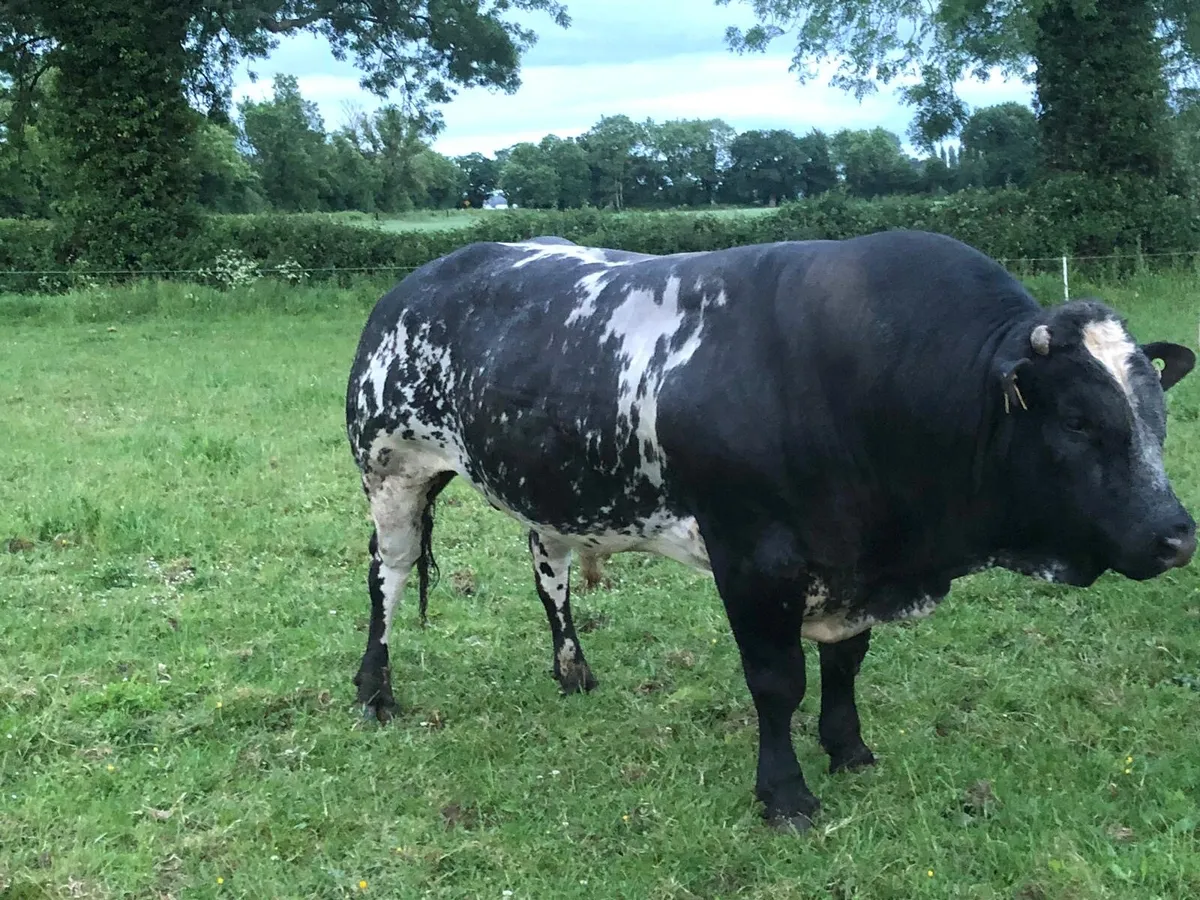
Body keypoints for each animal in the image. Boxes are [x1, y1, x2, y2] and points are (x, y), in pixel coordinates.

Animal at [344, 230, 1196, 832]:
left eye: (1157, 410)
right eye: (1079, 420)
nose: (1177, 536)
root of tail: (413, 284)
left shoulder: (854, 559)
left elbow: (846, 664)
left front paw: (850, 750)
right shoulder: (753, 556)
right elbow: (777, 679)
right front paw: (785, 795)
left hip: (547, 494)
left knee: (547, 573)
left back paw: (572, 671)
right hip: (389, 467)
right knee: (387, 577)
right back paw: (375, 691)